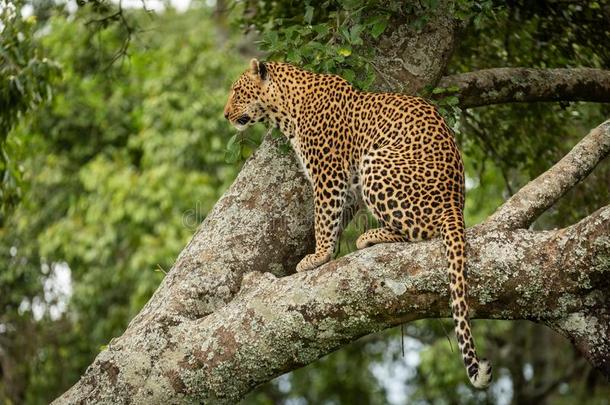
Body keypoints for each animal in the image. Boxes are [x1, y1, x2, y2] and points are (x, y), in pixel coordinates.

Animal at [222, 58, 490, 386]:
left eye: (237, 91)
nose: (225, 115)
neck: (287, 107)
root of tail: (455, 201)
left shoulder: (328, 172)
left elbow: (323, 217)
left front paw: (318, 256)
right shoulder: (346, 182)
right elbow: (335, 216)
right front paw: (329, 251)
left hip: (375, 163)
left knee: (421, 232)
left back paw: (371, 237)